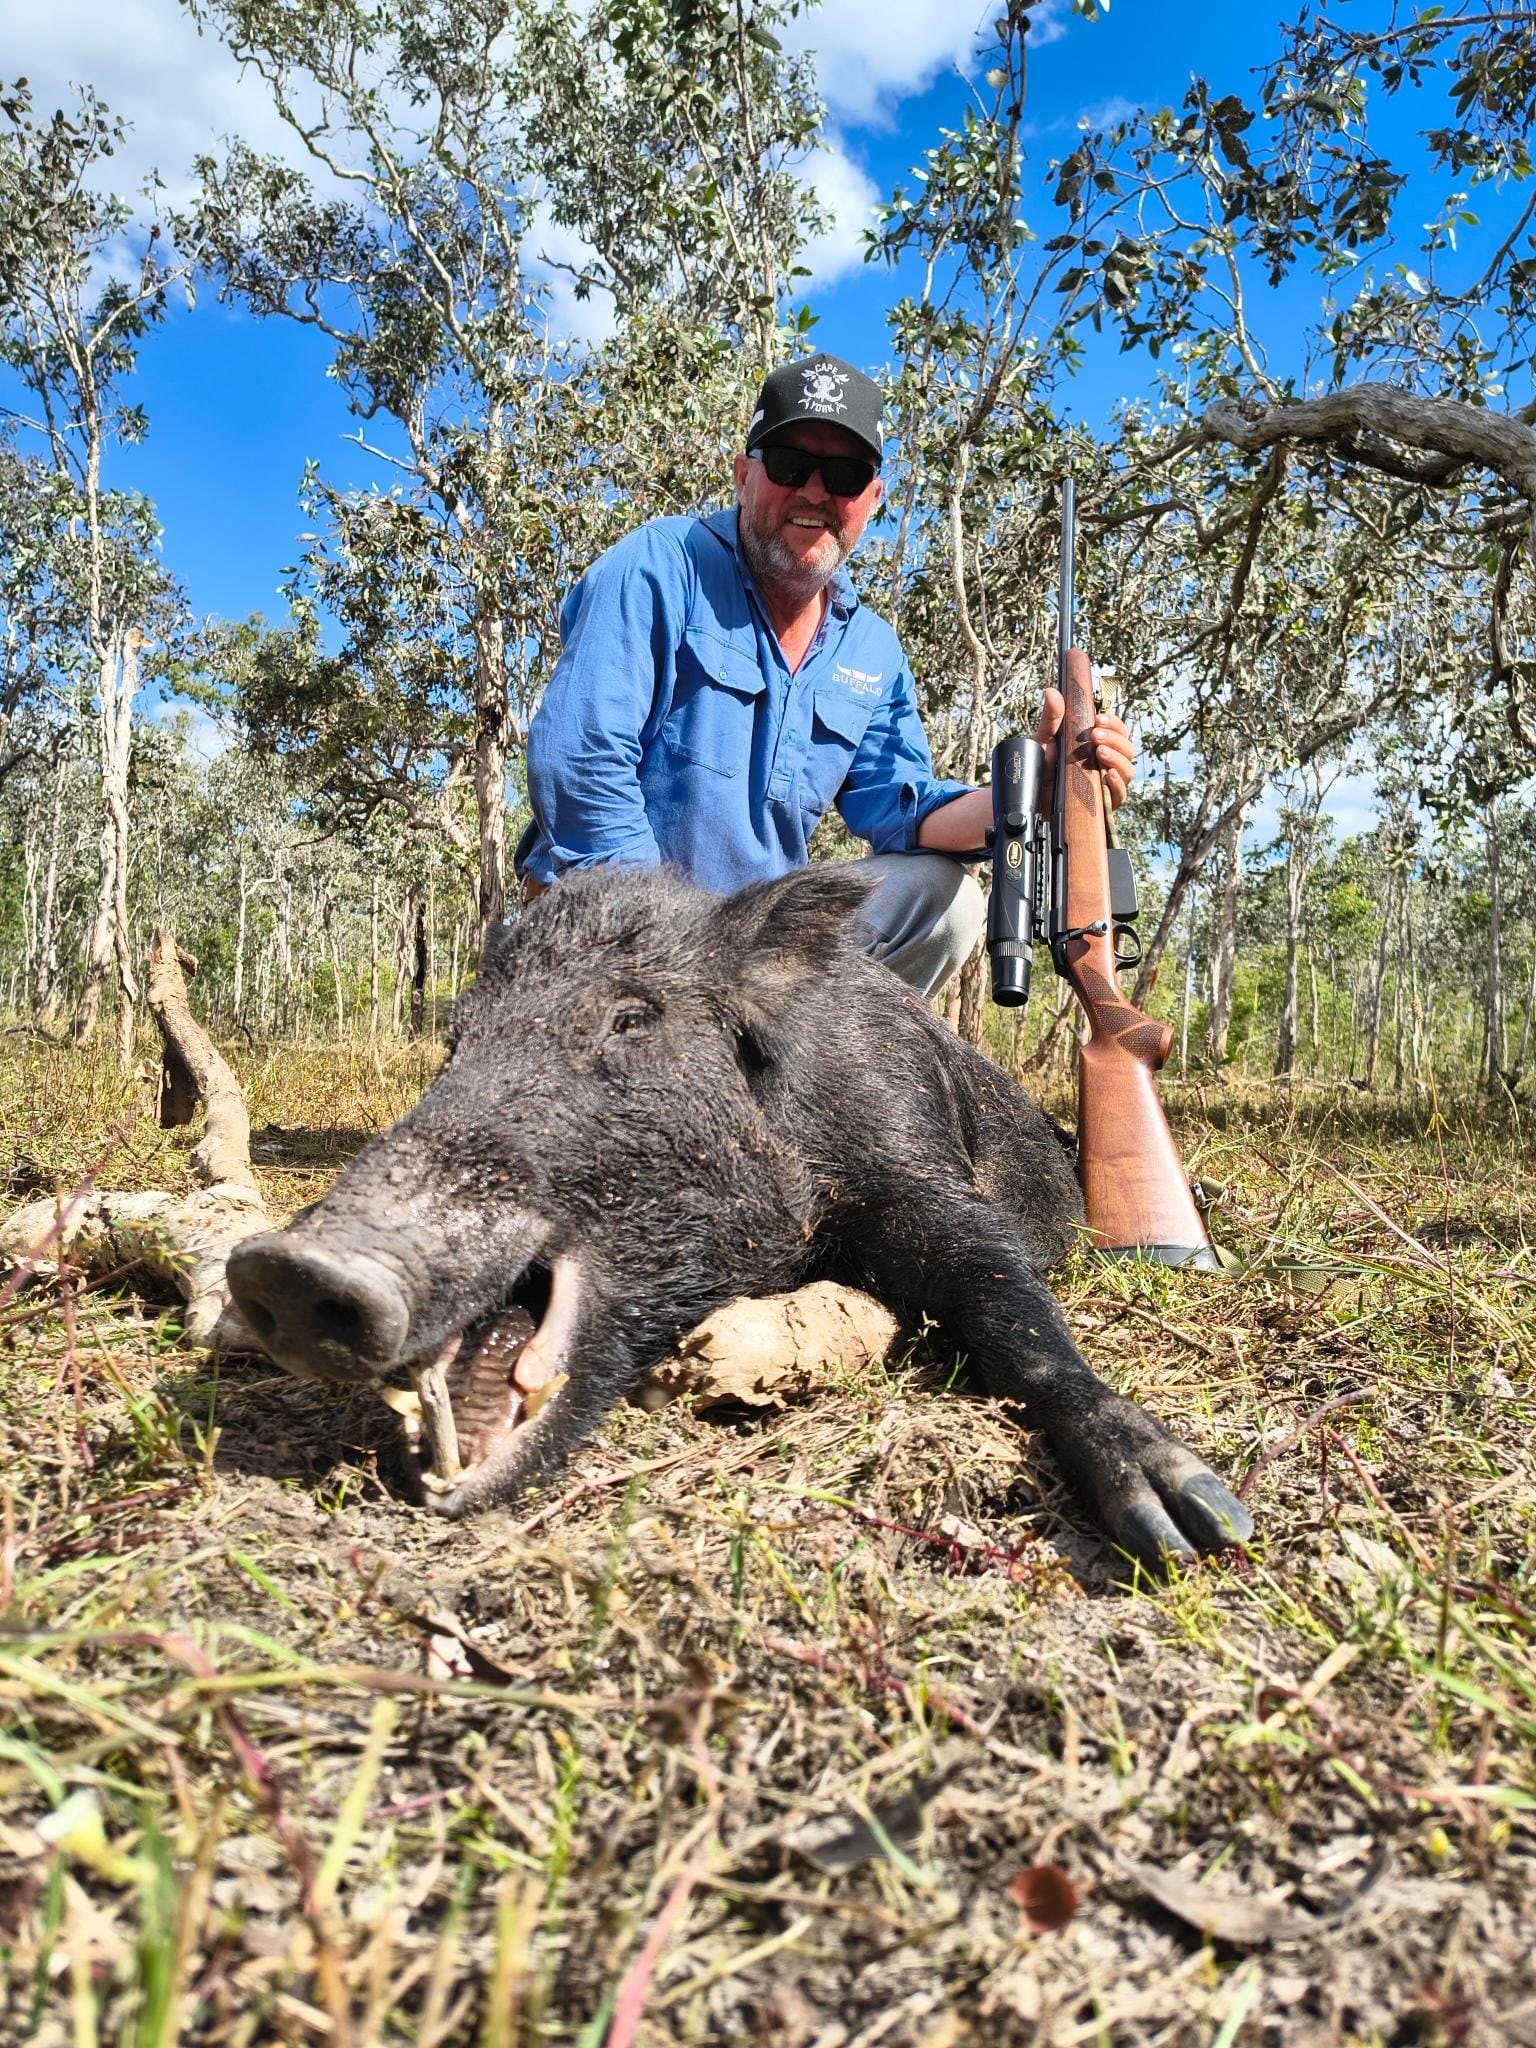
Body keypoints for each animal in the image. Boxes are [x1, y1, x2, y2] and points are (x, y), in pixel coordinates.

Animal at [227, 864, 1253, 1566]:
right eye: (457, 1040)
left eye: (632, 1019)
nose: (286, 1267)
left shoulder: (918, 1171)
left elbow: (1010, 1309)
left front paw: (1197, 1524)